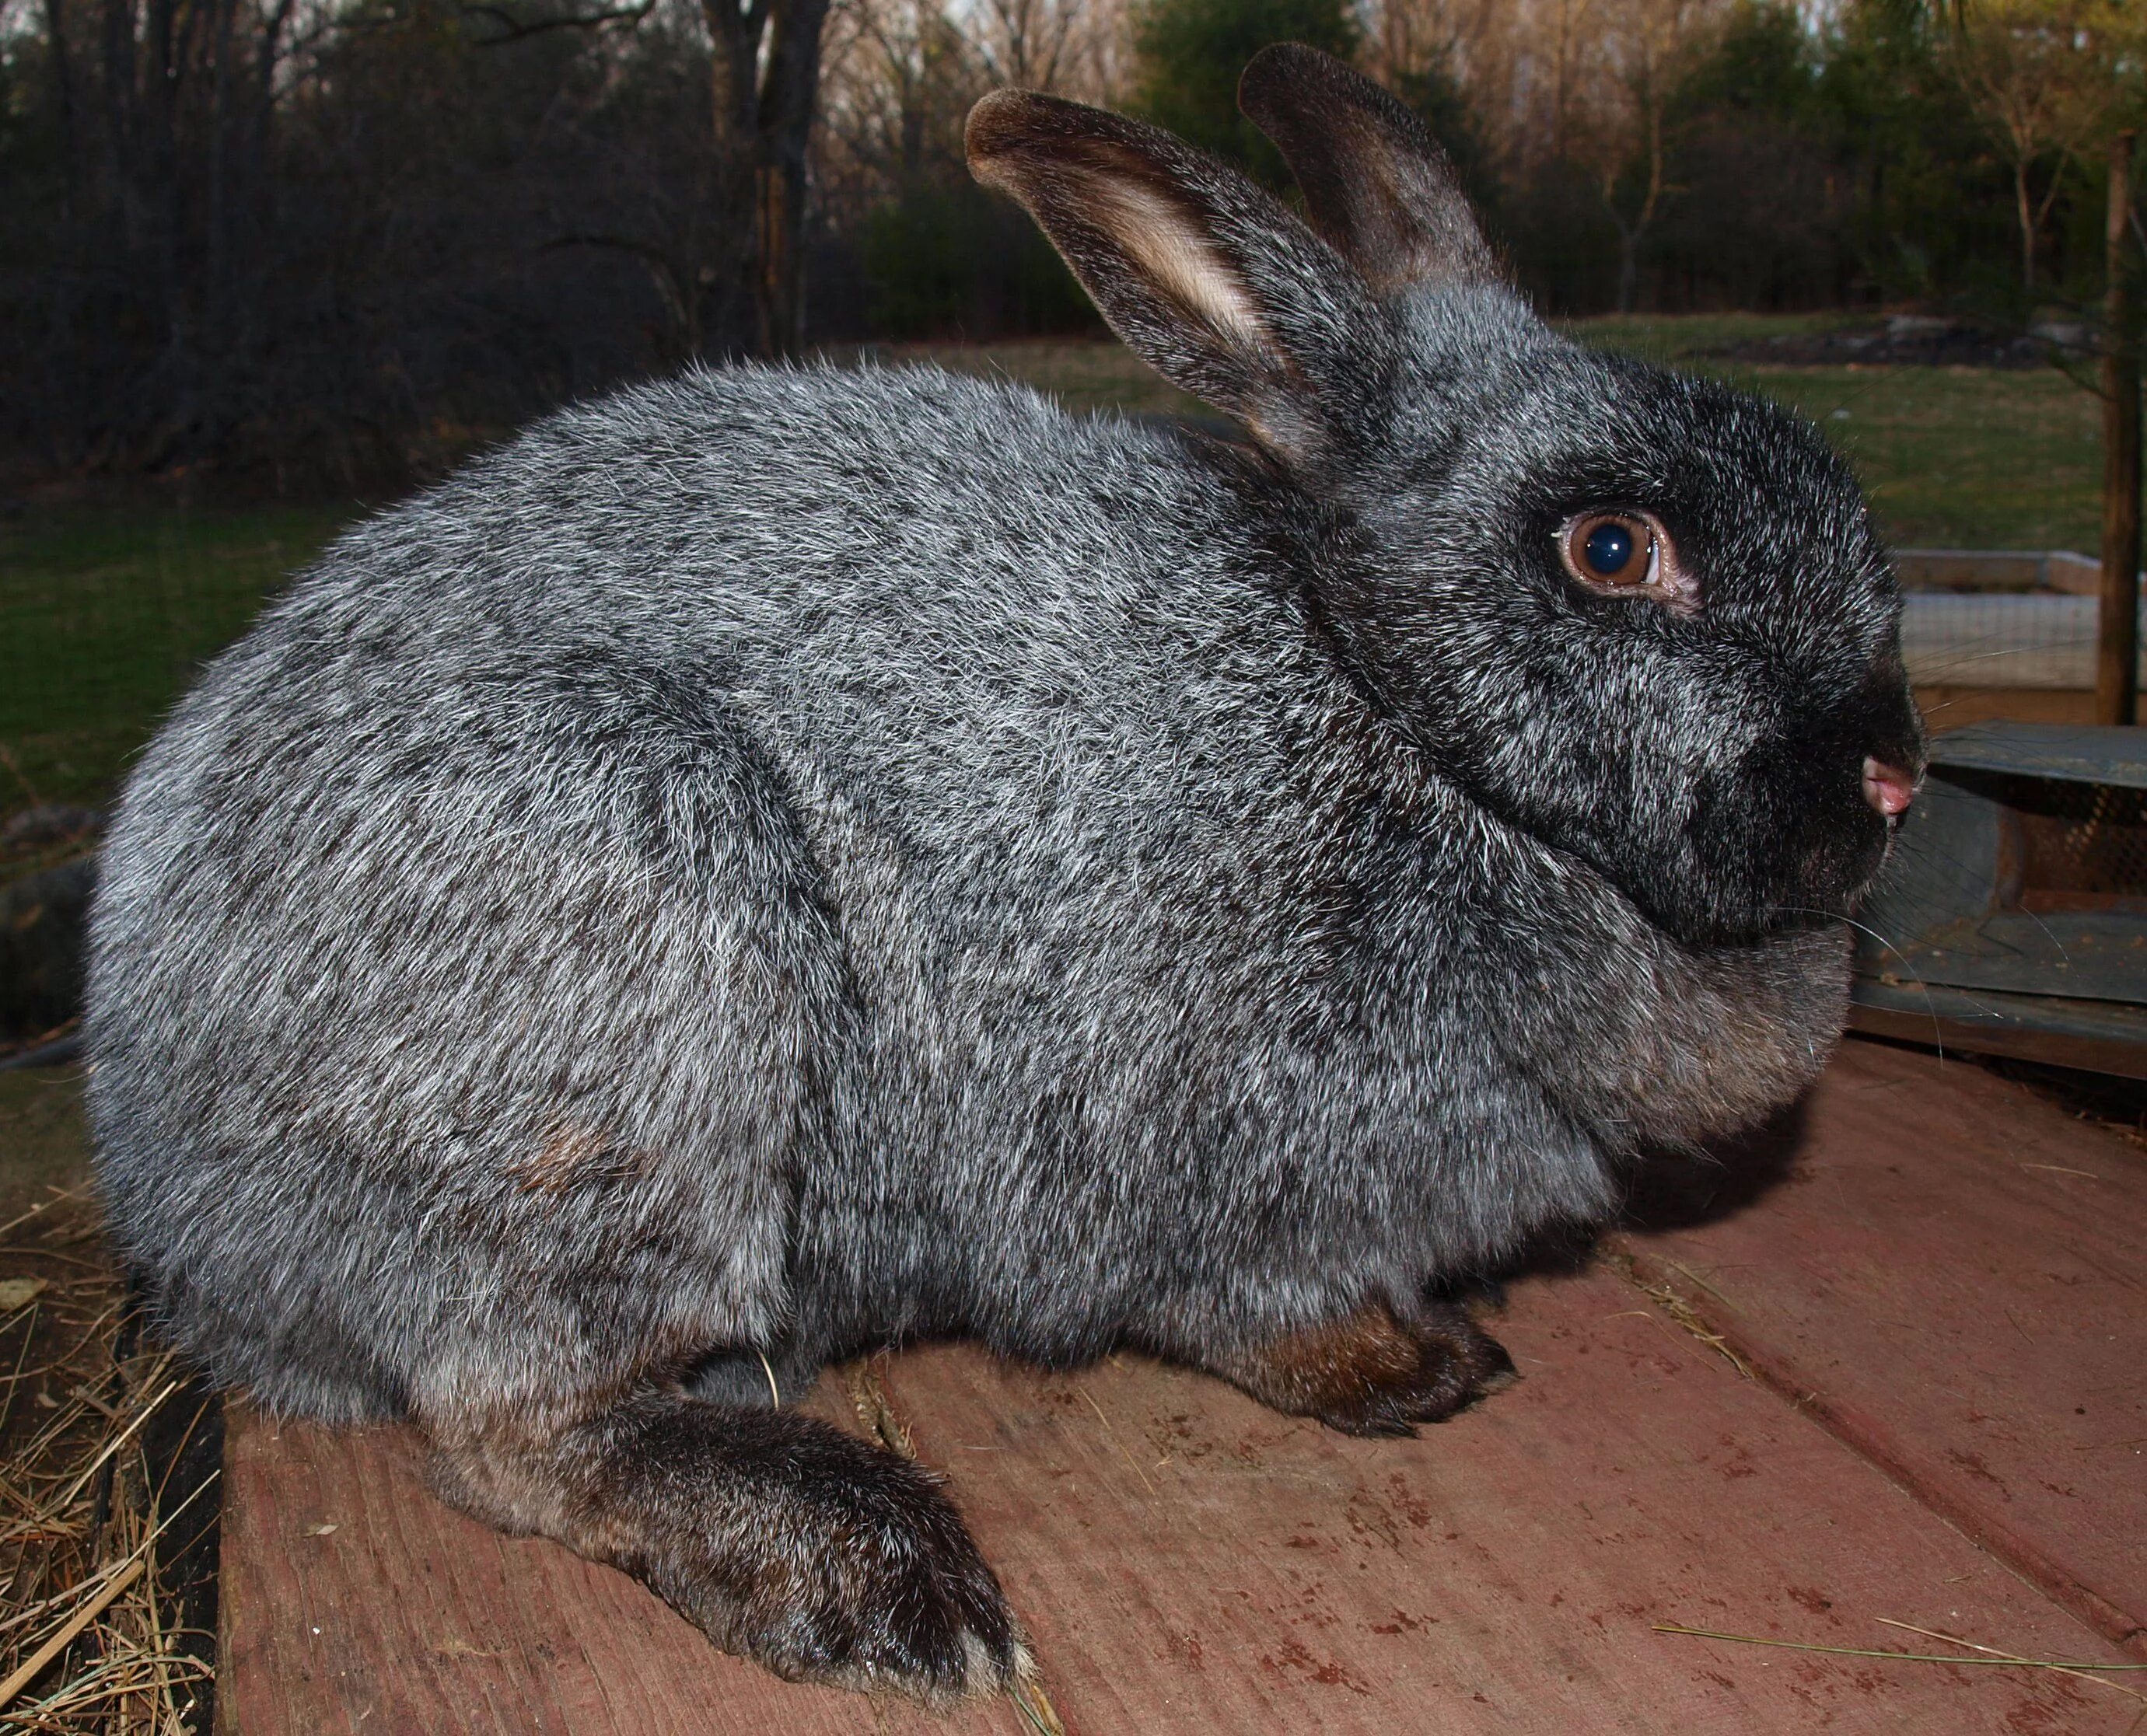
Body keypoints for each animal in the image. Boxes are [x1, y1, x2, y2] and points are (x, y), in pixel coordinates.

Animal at [83, 44, 1932, 1708]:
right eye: (1610, 548)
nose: (1894, 770)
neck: (1398, 720)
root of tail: (161, 1170)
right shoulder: (1229, 1174)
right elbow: (1257, 1309)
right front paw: (1415, 1366)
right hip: (627, 966)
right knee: (516, 1425)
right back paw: (872, 1571)